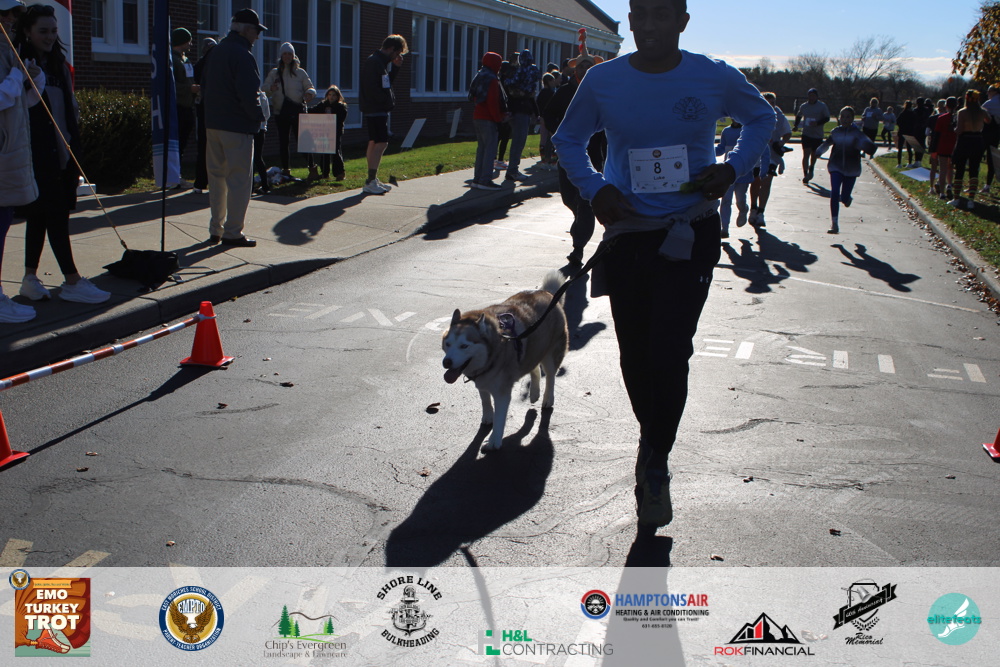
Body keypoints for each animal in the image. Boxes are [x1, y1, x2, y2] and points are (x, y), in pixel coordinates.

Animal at [442, 271, 568, 452]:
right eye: (448, 344)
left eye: (464, 346)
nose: (447, 362)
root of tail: (547, 292)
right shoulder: (483, 381)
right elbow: (485, 401)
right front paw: (488, 417)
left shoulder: (502, 392)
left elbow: (500, 415)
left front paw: (494, 440)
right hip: (531, 349)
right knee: (534, 367)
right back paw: (534, 393)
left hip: (551, 353)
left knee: (550, 376)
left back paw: (547, 398)